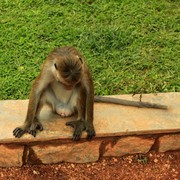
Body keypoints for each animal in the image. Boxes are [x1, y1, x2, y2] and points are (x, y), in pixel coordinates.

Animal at [12, 46, 167, 141]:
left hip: (72, 106)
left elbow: (88, 88)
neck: (65, 55)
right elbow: (37, 88)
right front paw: (26, 124)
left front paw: (89, 124)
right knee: (44, 91)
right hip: (54, 104)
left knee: (81, 90)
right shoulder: (48, 70)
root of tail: (63, 110)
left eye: (71, 84)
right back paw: (35, 121)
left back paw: (80, 121)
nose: (69, 87)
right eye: (65, 83)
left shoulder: (83, 68)